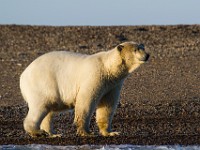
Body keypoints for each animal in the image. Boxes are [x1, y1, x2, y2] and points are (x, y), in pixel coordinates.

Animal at [19, 41, 148, 137]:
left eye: (143, 47)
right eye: (136, 49)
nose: (147, 55)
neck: (108, 67)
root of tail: (23, 76)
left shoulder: (112, 84)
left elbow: (107, 106)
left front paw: (111, 132)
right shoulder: (94, 76)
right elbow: (86, 101)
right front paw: (86, 132)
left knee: (48, 112)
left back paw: (53, 134)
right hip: (43, 83)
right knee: (41, 107)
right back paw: (37, 132)